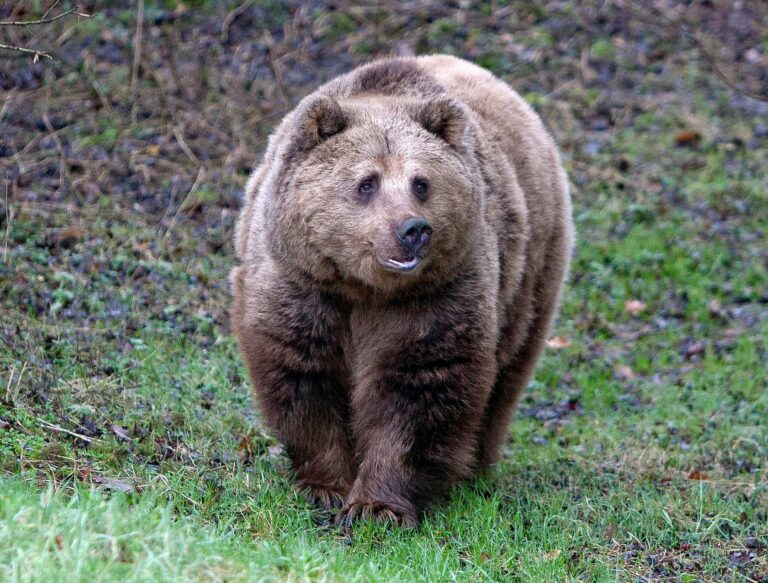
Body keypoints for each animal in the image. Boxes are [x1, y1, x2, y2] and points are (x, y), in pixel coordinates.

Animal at [230, 55, 574, 527]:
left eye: (421, 182)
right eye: (367, 182)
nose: (413, 230)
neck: (364, 289)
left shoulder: (437, 293)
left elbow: (417, 389)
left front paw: (376, 506)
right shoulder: (300, 282)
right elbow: (303, 373)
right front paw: (327, 487)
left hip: (531, 271)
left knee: (507, 373)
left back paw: (474, 468)